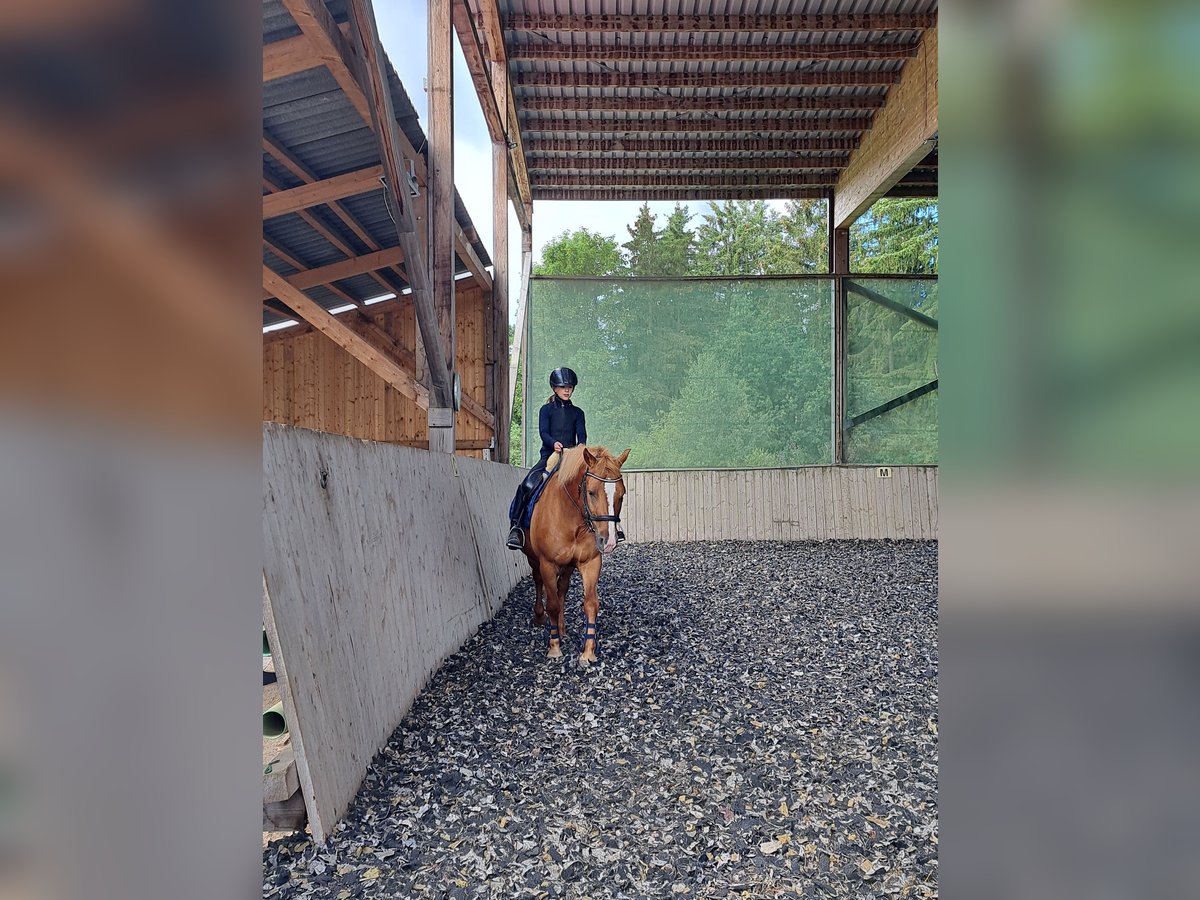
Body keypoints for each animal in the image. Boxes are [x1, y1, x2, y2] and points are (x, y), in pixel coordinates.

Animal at [528, 448, 638, 667]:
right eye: (591, 493)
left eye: (621, 494)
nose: (608, 541)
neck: (572, 519)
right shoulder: (547, 563)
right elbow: (552, 603)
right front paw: (554, 647)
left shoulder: (590, 563)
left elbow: (590, 604)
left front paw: (588, 652)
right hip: (533, 559)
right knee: (538, 582)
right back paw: (540, 617)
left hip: (569, 565)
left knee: (561, 589)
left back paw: (561, 627)